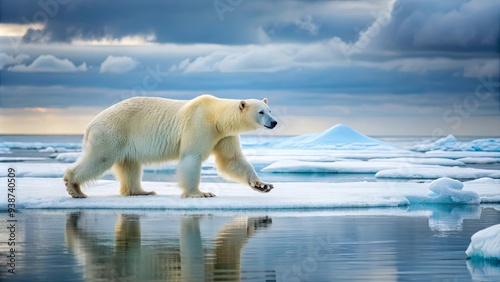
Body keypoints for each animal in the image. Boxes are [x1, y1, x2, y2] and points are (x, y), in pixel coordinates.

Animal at [62, 94, 278, 198]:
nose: (274, 122)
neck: (215, 116)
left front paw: (263, 185)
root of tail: (90, 124)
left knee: (130, 165)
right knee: (100, 157)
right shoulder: (199, 124)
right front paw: (201, 193)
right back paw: (74, 188)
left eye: (269, 109)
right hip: (112, 133)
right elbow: (192, 157)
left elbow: (232, 160)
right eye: (261, 112)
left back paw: (142, 191)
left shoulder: (223, 135)